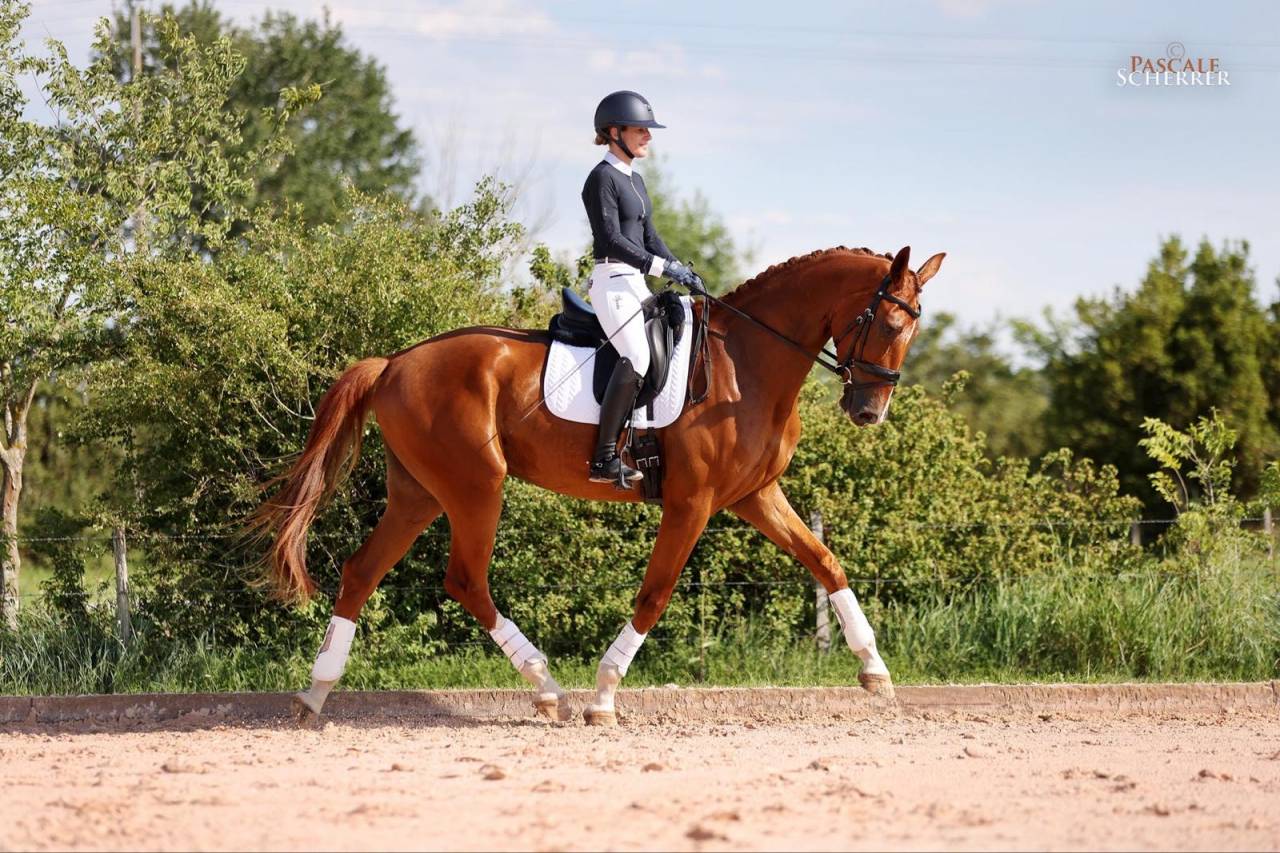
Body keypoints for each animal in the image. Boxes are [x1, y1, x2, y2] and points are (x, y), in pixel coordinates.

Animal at [250, 244, 945, 725]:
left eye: (913, 329)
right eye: (888, 324)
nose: (869, 411)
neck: (746, 363)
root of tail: (394, 362)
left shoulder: (754, 496)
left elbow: (825, 561)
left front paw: (875, 670)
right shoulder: (692, 503)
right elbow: (655, 594)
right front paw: (605, 697)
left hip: (418, 494)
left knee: (362, 572)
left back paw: (315, 695)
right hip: (476, 486)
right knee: (466, 580)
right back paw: (550, 689)